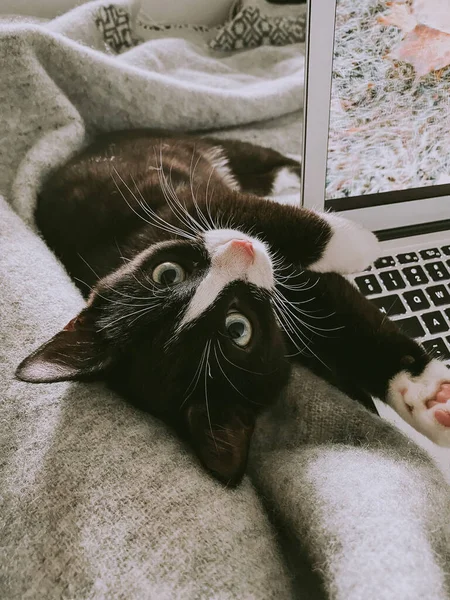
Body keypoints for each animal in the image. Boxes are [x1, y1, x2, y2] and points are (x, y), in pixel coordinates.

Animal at [15, 130, 450, 482]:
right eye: (237, 329)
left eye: (167, 274)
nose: (240, 250)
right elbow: (342, 319)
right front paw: (427, 396)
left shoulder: (188, 211)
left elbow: (249, 212)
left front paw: (354, 238)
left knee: (256, 162)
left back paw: (291, 180)